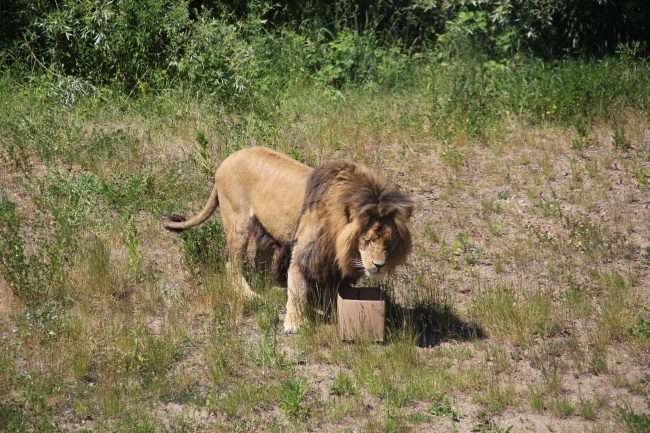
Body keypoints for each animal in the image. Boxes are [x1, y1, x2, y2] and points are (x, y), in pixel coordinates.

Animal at [165, 147, 412, 332]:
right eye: (367, 240)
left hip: (263, 228)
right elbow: (299, 290)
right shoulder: (303, 253)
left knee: (260, 263)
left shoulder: (329, 262)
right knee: (232, 265)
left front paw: (333, 316)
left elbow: (331, 294)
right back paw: (251, 295)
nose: (379, 265)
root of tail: (226, 160)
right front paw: (295, 324)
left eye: (389, 242)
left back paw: (272, 288)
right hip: (237, 223)